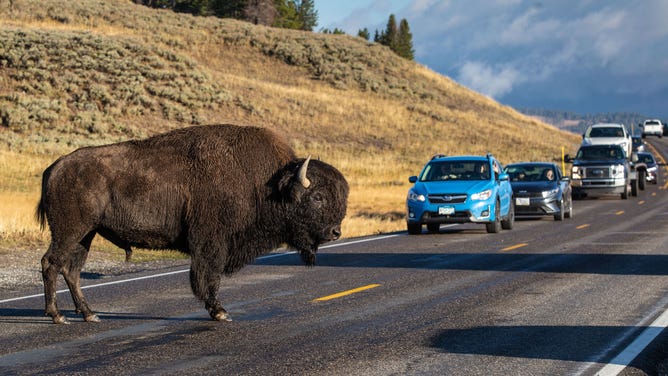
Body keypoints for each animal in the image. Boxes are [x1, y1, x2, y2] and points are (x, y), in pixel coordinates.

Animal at [36, 123, 350, 324]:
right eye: (318, 197)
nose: (335, 232)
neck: (268, 183)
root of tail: (55, 167)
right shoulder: (212, 243)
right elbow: (209, 276)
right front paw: (220, 312)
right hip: (70, 231)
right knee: (51, 263)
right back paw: (58, 316)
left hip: (86, 234)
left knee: (72, 270)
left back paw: (89, 314)